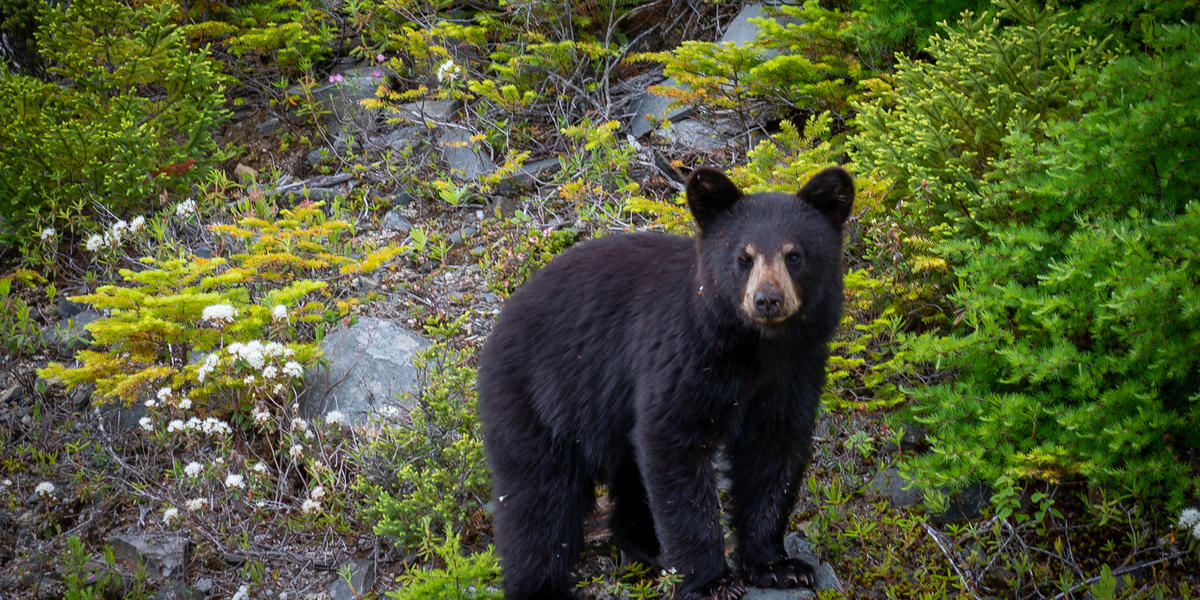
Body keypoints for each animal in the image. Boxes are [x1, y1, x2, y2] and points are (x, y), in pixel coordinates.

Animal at [477, 165, 854, 600]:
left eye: (795, 256)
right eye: (743, 258)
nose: (767, 300)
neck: (754, 347)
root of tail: (498, 326)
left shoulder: (794, 370)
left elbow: (773, 452)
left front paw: (778, 566)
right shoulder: (682, 356)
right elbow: (674, 446)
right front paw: (710, 582)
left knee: (628, 477)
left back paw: (648, 546)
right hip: (537, 399)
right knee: (539, 499)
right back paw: (542, 585)